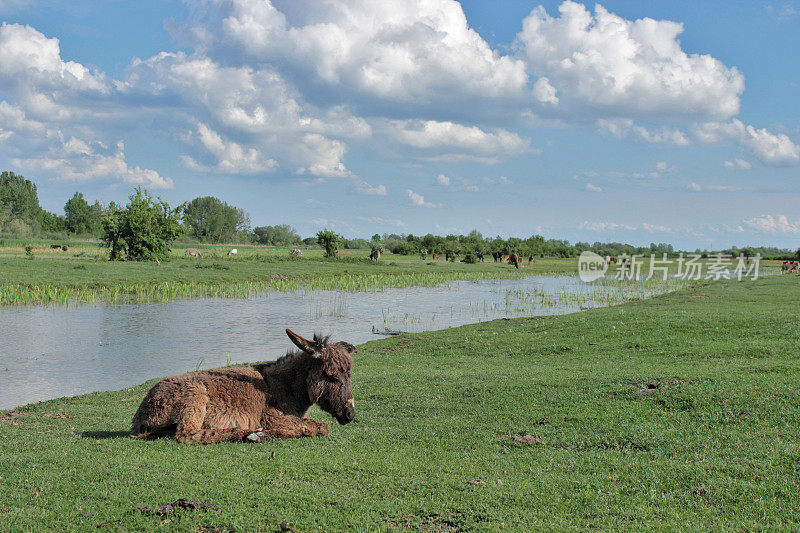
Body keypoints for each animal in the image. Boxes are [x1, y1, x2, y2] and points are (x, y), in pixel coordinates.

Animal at [131, 330, 356, 442]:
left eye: (349, 375)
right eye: (332, 376)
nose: (350, 415)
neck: (283, 387)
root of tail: (140, 415)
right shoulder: (270, 417)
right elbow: (320, 427)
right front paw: (271, 432)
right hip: (195, 397)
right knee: (187, 435)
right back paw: (250, 434)